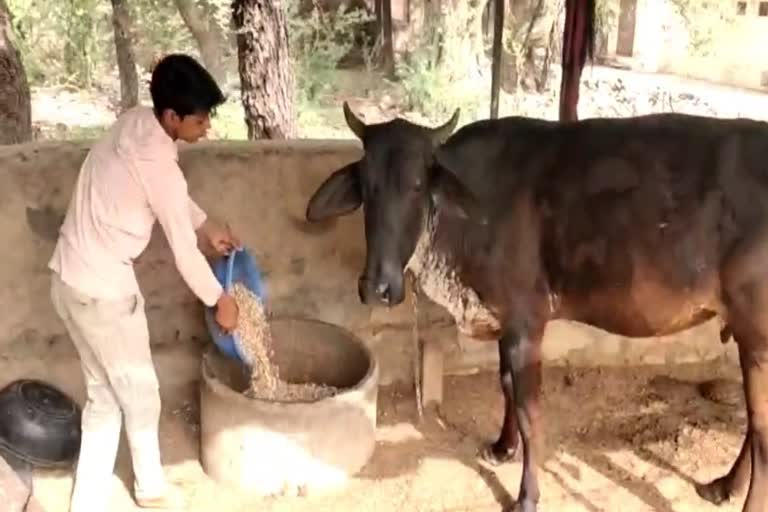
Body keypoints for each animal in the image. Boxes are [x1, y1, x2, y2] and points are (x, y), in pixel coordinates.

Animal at [306, 102, 768, 510]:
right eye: (367, 186)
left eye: (417, 185)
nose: (378, 287)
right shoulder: (504, 319)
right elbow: (505, 386)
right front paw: (501, 447)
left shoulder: (527, 325)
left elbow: (531, 413)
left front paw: (527, 496)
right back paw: (724, 486)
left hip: (757, 338)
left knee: (762, 432)